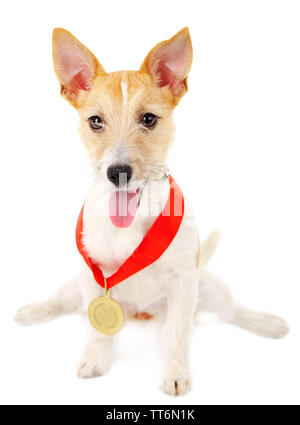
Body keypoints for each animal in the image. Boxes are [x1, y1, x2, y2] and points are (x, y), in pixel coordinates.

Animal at [15, 28, 290, 396]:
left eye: (148, 119)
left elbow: (177, 333)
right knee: (59, 300)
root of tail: (141, 314)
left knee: (232, 310)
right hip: (74, 285)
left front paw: (175, 373)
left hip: (208, 286)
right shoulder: (91, 275)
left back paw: (266, 322)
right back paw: (34, 310)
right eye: (95, 121)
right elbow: (96, 330)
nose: (117, 172)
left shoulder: (185, 281)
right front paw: (95, 360)